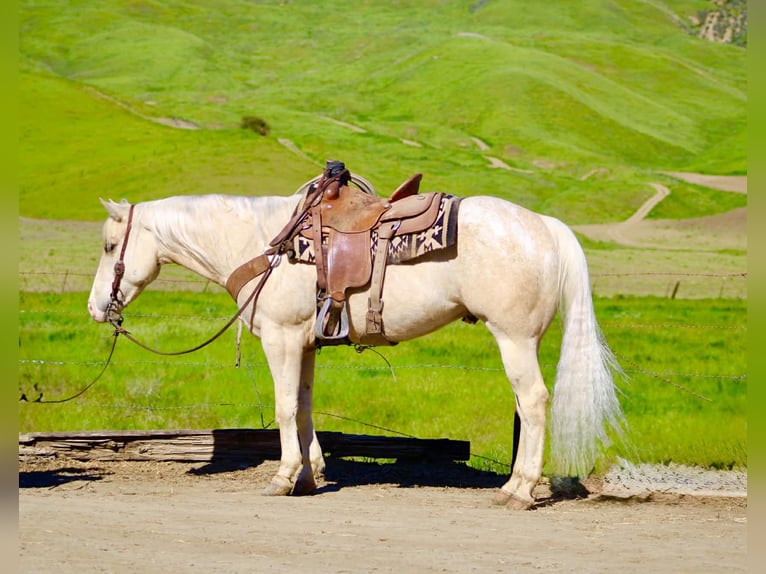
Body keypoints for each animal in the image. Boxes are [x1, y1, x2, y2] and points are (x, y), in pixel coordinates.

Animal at [87, 187, 624, 510]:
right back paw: (515, 485)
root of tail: (546, 225)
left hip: (514, 338)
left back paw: (519, 490)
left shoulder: (281, 338)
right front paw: (308, 476)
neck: (264, 245)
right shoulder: (304, 344)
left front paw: (283, 477)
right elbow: (304, 407)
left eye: (111, 246)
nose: (96, 308)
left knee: (532, 402)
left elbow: (283, 408)